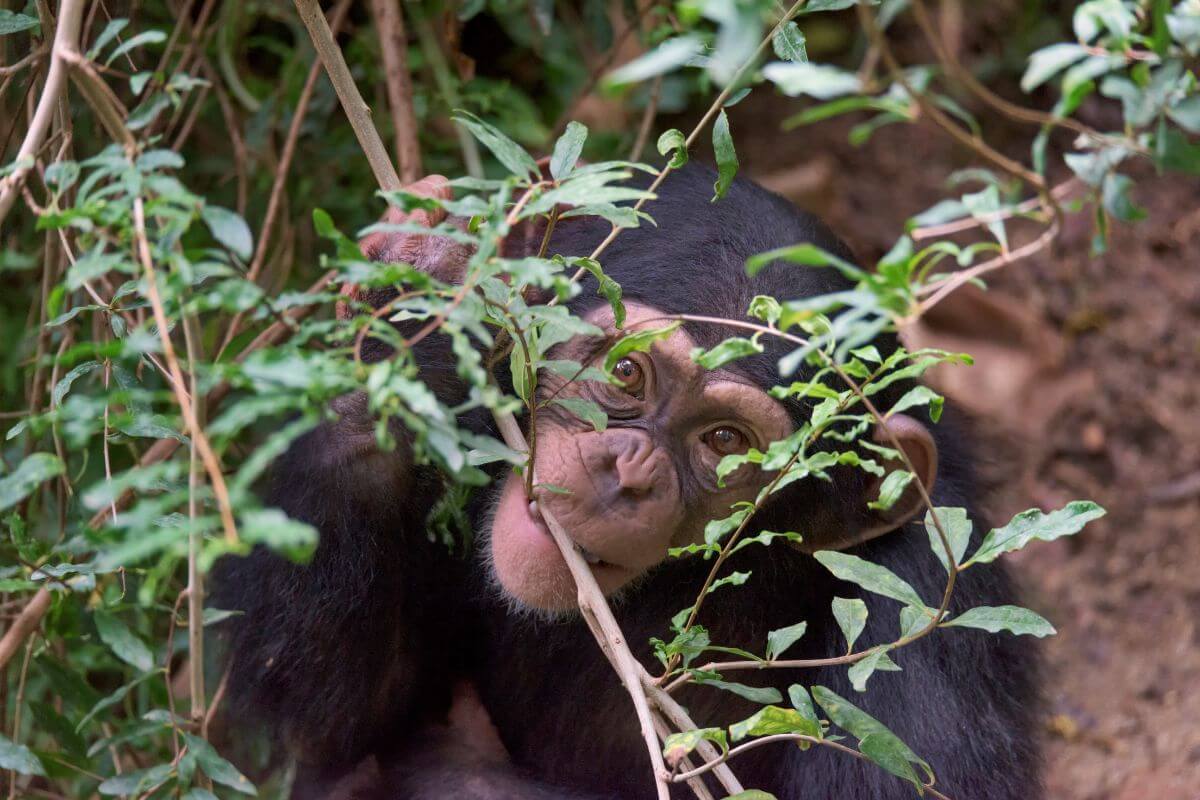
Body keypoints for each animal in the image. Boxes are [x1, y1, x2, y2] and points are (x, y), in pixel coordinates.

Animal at [216, 163, 1041, 800]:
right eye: (625, 373)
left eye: (724, 441)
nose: (626, 471)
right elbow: (340, 715)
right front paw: (423, 296)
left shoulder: (922, 616)